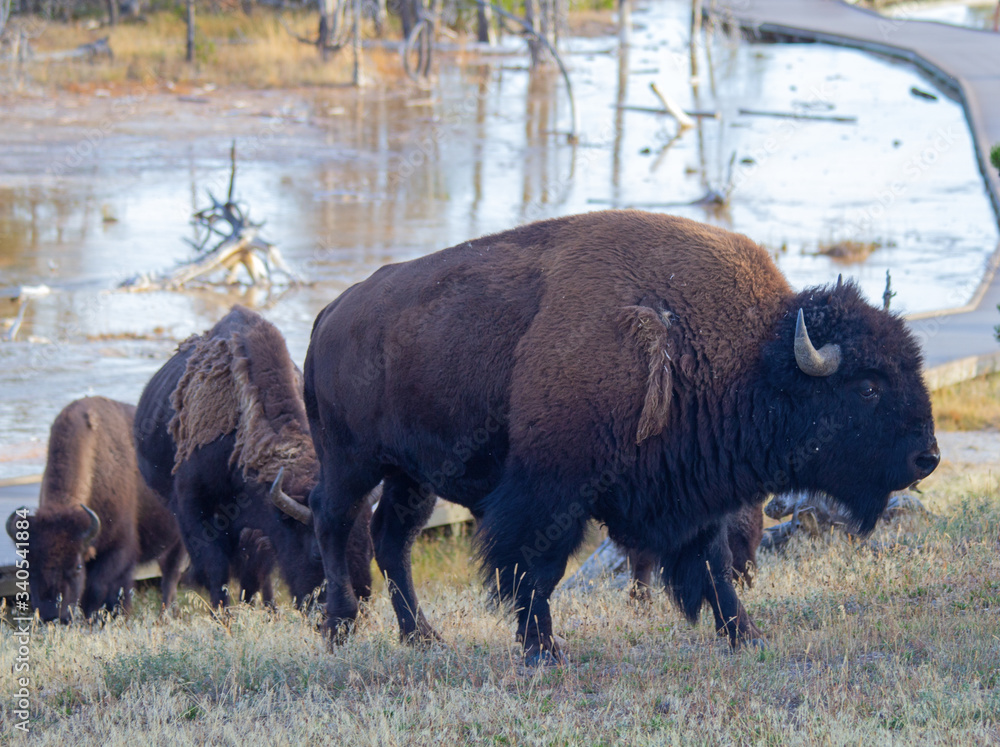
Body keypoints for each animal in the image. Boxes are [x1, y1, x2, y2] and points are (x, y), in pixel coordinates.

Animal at [5, 397, 186, 623]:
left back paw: (164, 616)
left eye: (77, 566)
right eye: (27, 565)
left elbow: (101, 588)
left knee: (170, 576)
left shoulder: (119, 550)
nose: (52, 616)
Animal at [134, 305, 373, 609]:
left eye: (369, 547)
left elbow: (255, 577)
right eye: (317, 551)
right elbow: (217, 574)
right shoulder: (196, 514)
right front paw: (224, 615)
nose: (359, 605)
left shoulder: (258, 532)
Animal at [302, 210, 939, 664]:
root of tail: (332, 312)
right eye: (868, 387)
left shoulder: (695, 497)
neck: (749, 356)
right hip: (351, 462)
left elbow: (713, 566)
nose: (926, 457)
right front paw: (544, 650)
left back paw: (422, 637)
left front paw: (746, 635)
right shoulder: (551, 494)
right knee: (333, 524)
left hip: (412, 476)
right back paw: (339, 630)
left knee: (392, 539)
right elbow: (535, 570)